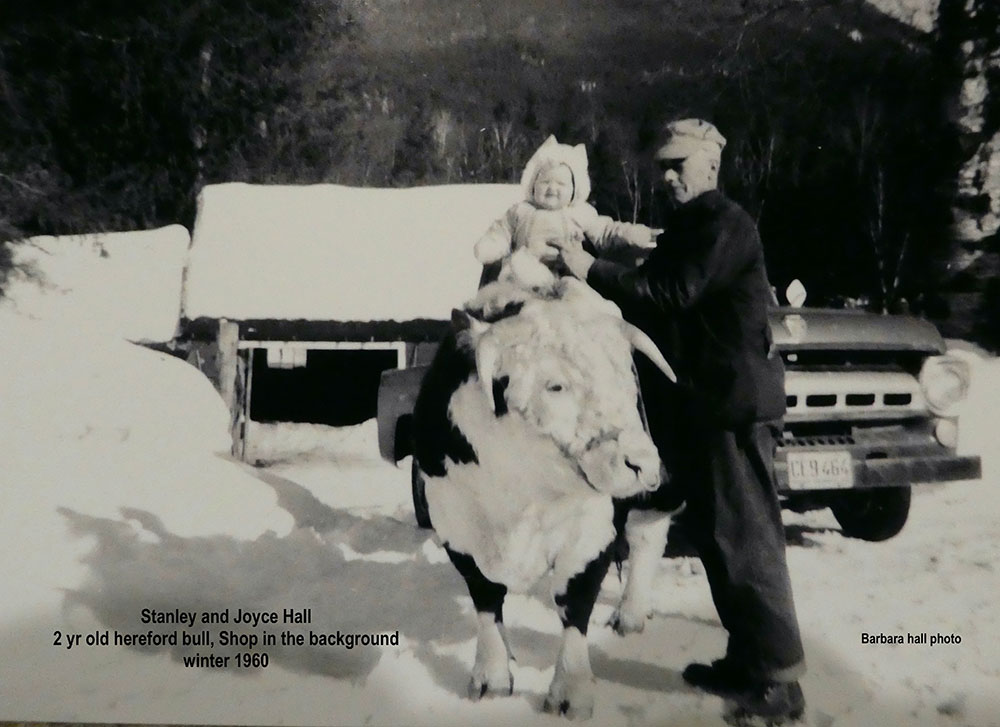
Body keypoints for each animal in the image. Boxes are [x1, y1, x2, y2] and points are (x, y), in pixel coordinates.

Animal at [412, 282, 680, 720]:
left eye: (628, 378)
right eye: (555, 385)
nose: (640, 461)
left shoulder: (591, 533)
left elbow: (574, 602)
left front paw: (570, 692)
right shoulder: (456, 528)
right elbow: (485, 600)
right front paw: (492, 676)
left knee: (648, 535)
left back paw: (630, 613)